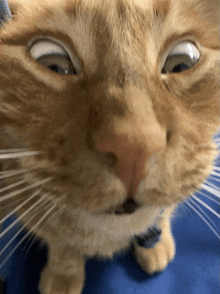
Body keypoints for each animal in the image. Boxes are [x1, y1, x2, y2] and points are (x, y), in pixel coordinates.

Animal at [0, 0, 219, 294]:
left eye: (183, 62)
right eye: (55, 65)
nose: (134, 150)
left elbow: (163, 213)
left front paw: (157, 244)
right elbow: (64, 247)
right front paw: (63, 275)